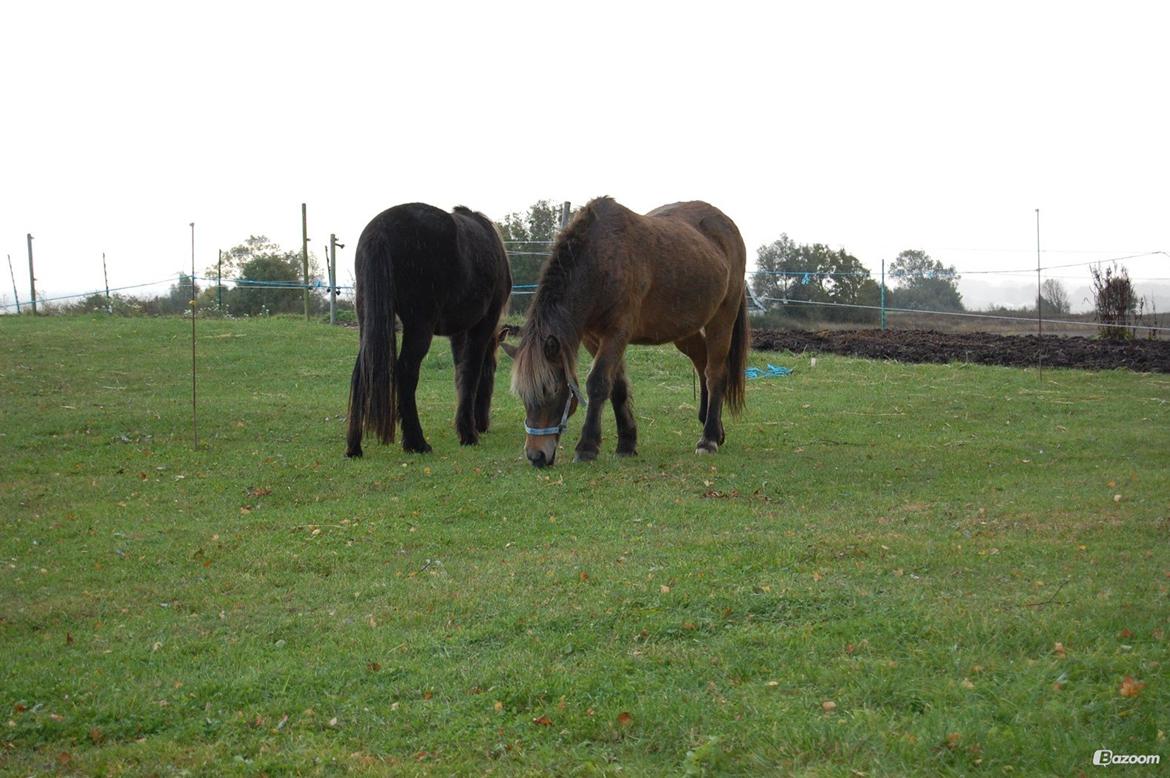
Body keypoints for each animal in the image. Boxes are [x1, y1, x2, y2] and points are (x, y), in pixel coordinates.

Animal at [346, 201, 512, 456]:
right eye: (494, 369)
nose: (483, 424)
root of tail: (379, 230)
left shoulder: (459, 332)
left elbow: (461, 373)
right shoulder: (481, 325)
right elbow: (471, 372)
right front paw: (468, 434)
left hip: (369, 318)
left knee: (364, 369)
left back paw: (354, 447)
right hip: (419, 326)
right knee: (405, 371)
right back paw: (416, 442)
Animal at [503, 197, 748, 470]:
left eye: (551, 391)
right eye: (523, 395)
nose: (536, 456)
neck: (600, 260)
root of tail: (727, 224)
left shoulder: (616, 333)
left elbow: (598, 383)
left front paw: (587, 447)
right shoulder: (593, 338)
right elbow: (617, 387)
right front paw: (626, 444)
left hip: (722, 318)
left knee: (715, 373)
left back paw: (708, 439)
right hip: (685, 329)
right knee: (701, 363)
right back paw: (714, 427)